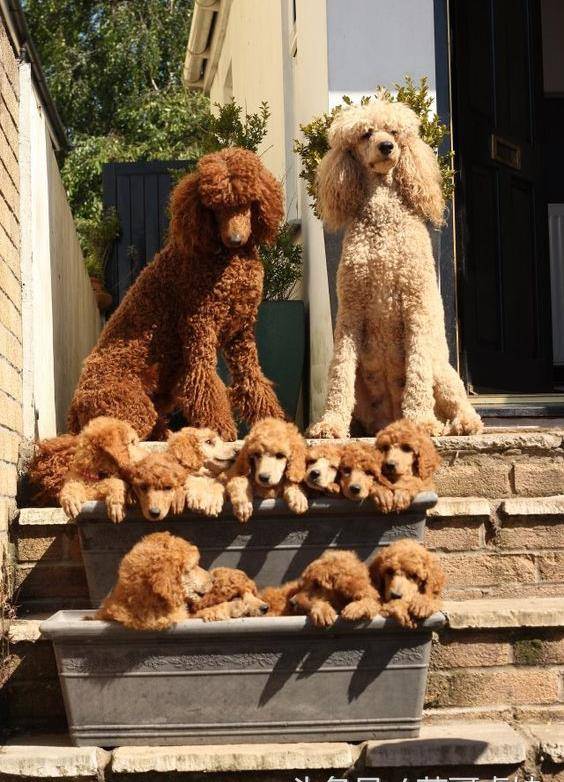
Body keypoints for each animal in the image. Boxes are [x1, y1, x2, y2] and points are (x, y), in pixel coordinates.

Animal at [67, 147, 284, 440]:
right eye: (214, 208)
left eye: (247, 203)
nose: (236, 240)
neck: (228, 258)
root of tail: (74, 407)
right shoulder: (199, 324)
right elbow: (205, 380)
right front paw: (220, 429)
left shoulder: (241, 333)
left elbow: (252, 380)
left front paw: (274, 425)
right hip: (133, 406)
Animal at [306, 97, 482, 438]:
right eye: (366, 133)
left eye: (395, 131)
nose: (386, 146)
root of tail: (387, 421)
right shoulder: (350, 312)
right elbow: (339, 375)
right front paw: (330, 423)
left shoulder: (417, 307)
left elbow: (417, 374)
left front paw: (422, 421)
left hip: (441, 369)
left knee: (456, 399)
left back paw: (460, 423)